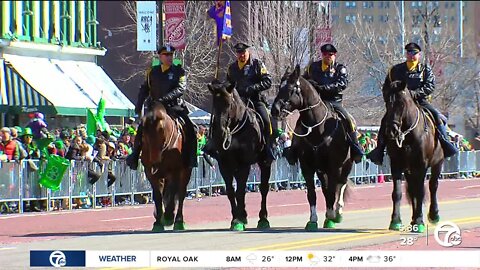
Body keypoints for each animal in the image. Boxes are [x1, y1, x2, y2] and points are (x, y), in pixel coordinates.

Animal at [142, 102, 192, 231]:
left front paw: (169, 216)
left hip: (185, 173)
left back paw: (178, 220)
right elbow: (158, 196)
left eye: (162, 130)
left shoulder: (175, 171)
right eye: (144, 131)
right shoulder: (151, 174)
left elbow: (173, 192)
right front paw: (158, 222)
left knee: (181, 193)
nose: (155, 159)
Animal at [207, 80, 274, 232]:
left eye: (229, 103)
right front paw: (236, 218)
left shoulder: (244, 163)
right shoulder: (224, 164)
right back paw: (243, 214)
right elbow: (231, 191)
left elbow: (240, 191)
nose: (220, 132)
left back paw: (263, 218)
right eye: (214, 103)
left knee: (264, 188)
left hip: (264, 162)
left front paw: (238, 220)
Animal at [270, 65, 352, 230]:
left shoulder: (333, 166)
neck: (318, 128)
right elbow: (312, 194)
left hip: (346, 165)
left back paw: (338, 212)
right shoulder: (307, 167)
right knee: (328, 188)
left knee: (341, 184)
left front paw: (332, 215)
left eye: (291, 89)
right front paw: (313, 220)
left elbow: (333, 190)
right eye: (279, 87)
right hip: (322, 170)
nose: (275, 110)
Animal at [378, 76, 442, 232]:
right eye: (387, 102)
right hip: (409, 170)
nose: (392, 131)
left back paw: (433, 215)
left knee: (433, 186)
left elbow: (421, 192)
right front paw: (395, 220)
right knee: (413, 189)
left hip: (437, 163)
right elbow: (398, 193)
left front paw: (419, 220)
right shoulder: (396, 165)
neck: (407, 136)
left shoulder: (421, 165)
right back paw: (413, 219)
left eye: (401, 103)